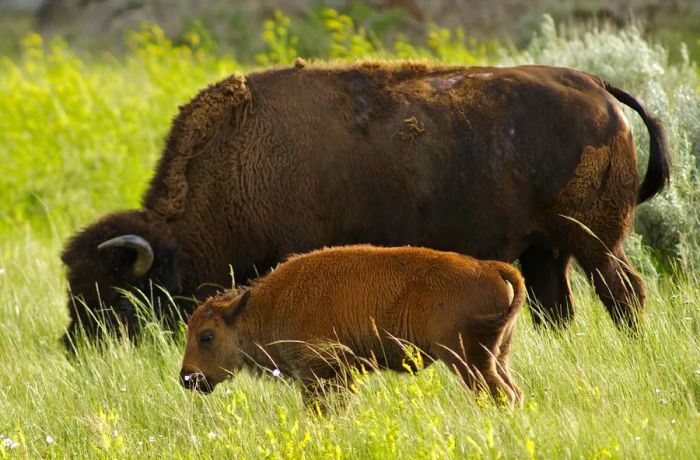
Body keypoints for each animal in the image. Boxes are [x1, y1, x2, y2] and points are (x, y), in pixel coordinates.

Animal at [63, 60, 668, 344]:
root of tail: (598, 86)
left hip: (595, 242)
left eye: (117, 294)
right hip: (546, 251)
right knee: (558, 306)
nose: (78, 347)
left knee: (624, 293)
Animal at [180, 246, 524, 408]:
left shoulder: (319, 373)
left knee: (501, 394)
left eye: (206, 336)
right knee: (515, 392)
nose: (187, 378)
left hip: (465, 359)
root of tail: (488, 267)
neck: (268, 305)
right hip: (497, 355)